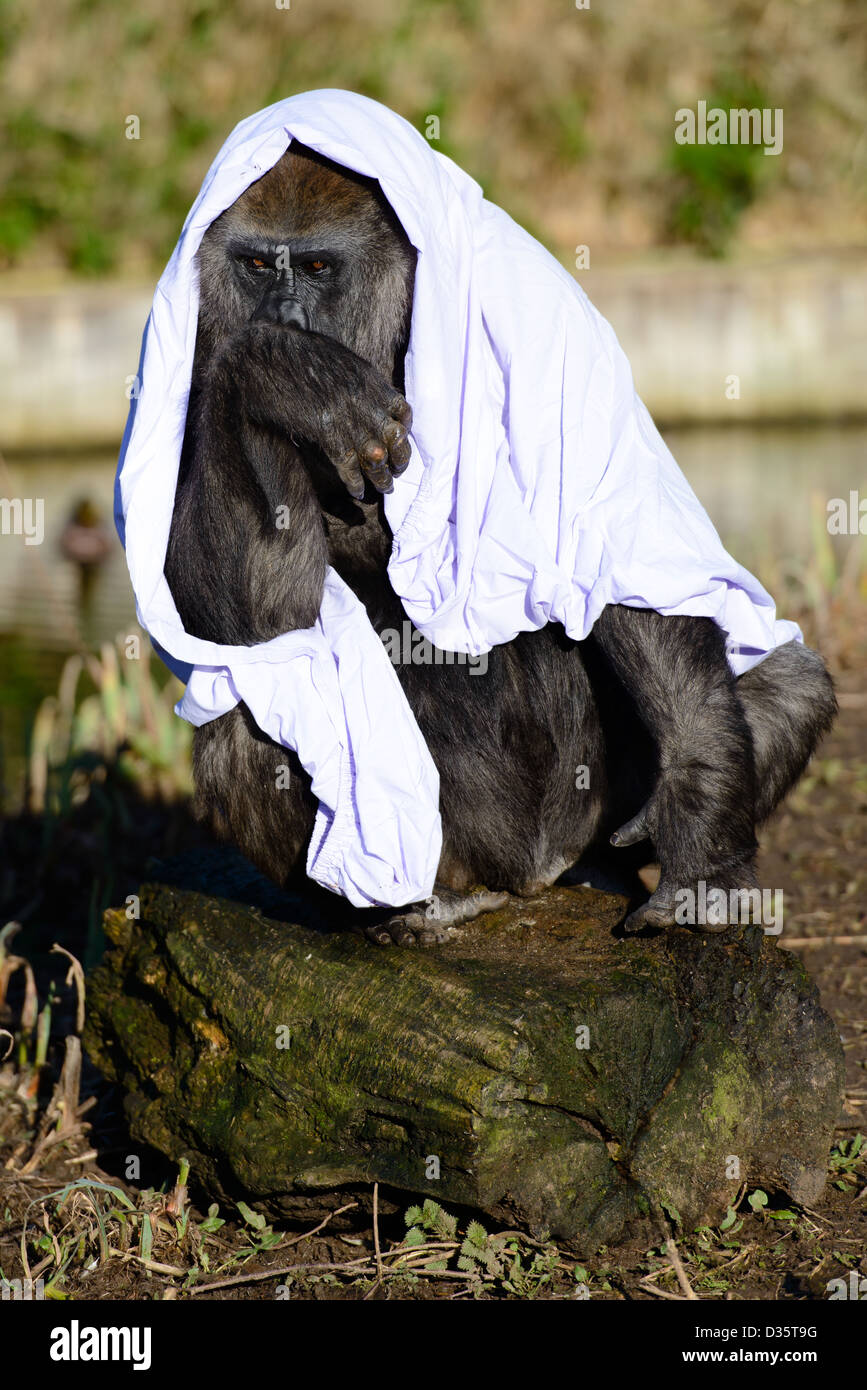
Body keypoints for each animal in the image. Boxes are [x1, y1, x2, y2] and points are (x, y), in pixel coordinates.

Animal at [162, 141, 833, 945]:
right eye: (258, 266)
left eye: (319, 268)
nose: (282, 314)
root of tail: (534, 873)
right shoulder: (200, 349)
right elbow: (253, 620)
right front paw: (282, 367)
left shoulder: (540, 309)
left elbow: (615, 544)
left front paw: (702, 829)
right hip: (464, 848)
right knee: (255, 711)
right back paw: (417, 905)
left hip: (583, 821)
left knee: (787, 681)